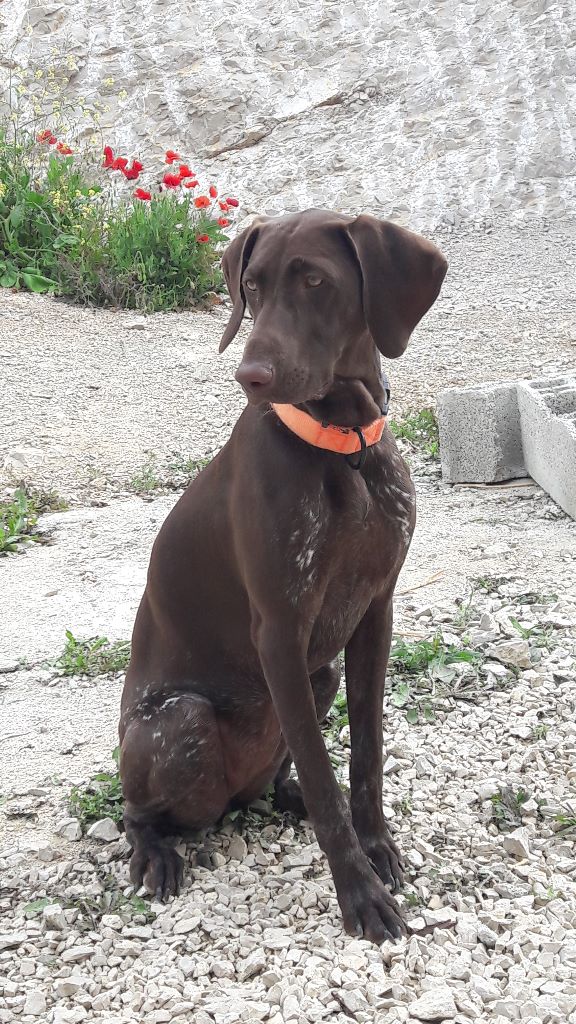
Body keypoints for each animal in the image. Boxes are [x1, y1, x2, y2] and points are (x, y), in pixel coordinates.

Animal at [119, 209, 447, 942]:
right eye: (253, 287)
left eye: (316, 282)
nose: (251, 375)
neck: (343, 445)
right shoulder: (280, 632)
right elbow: (327, 778)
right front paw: (359, 894)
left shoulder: (375, 613)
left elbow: (363, 756)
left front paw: (377, 846)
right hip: (178, 721)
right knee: (140, 814)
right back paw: (155, 852)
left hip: (319, 677)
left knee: (274, 781)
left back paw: (280, 795)